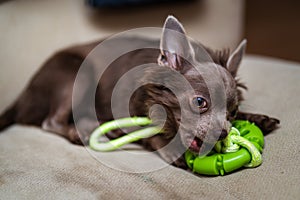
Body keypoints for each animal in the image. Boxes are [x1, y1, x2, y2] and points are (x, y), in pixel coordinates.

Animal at [0, 16, 278, 168]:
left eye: (234, 112)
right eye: (200, 102)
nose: (222, 133)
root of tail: (22, 95)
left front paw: (259, 118)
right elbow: (151, 134)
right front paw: (169, 148)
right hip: (77, 75)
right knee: (50, 121)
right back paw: (82, 133)